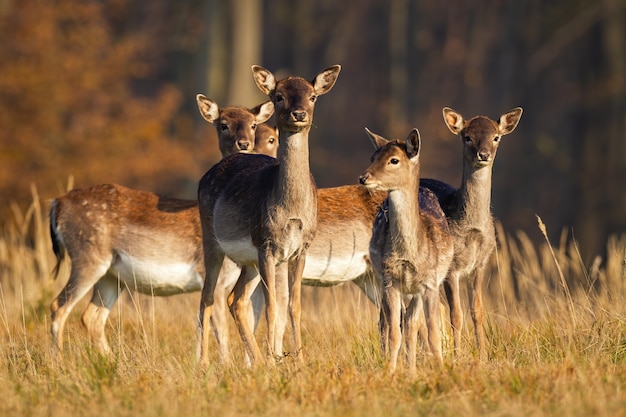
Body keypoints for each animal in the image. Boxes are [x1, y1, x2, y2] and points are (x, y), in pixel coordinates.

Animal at [48, 97, 272, 354]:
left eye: (254, 124)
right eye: (223, 124)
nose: (244, 143)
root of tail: (57, 203)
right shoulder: (211, 276)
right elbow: (221, 332)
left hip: (112, 274)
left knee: (92, 316)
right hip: (88, 256)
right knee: (59, 306)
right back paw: (58, 359)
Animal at [196, 63, 338, 366]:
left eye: (312, 96)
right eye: (279, 96)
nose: (299, 114)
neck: (292, 211)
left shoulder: (300, 249)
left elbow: (293, 306)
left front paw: (298, 361)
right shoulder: (266, 245)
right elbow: (273, 307)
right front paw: (277, 362)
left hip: (248, 261)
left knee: (236, 300)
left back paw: (259, 361)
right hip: (212, 239)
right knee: (208, 297)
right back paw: (204, 364)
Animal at [356, 127, 454, 374]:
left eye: (394, 160)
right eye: (373, 157)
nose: (364, 177)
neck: (409, 254)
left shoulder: (429, 284)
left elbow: (432, 333)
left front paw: (441, 370)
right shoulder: (390, 281)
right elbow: (394, 333)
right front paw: (390, 372)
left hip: (419, 289)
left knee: (413, 325)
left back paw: (412, 370)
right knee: (396, 325)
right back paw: (408, 369)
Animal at [420, 106, 520, 358]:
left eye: (496, 137)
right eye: (467, 137)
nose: (483, 154)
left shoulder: (481, 263)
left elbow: (477, 311)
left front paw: (482, 355)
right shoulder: (451, 268)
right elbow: (456, 314)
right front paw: (457, 355)